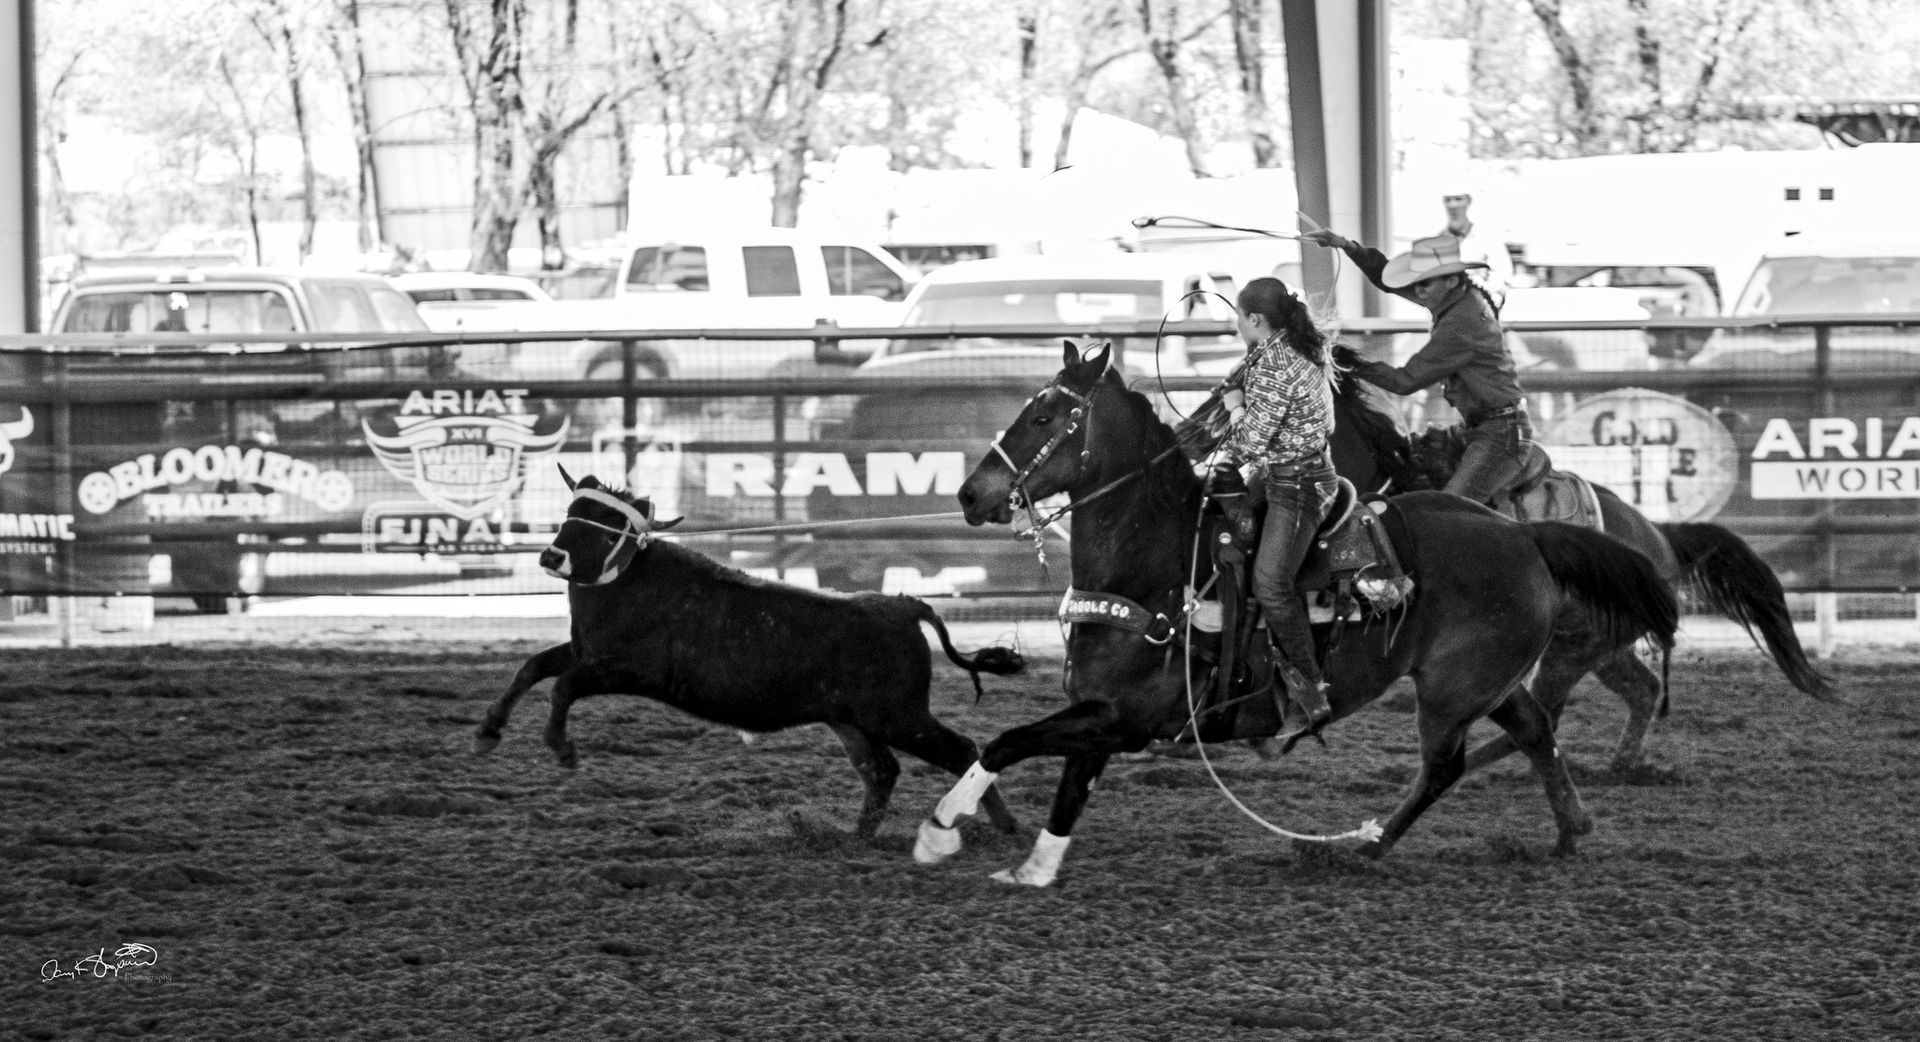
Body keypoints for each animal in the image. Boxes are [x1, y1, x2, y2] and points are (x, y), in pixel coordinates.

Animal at [472, 468, 1026, 841]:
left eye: (610, 525)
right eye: (572, 514)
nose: (552, 555)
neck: (628, 582)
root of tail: (904, 604)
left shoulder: (626, 670)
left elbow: (563, 685)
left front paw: (561, 748)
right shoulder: (583, 651)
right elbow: (533, 668)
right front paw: (488, 732)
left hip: (900, 716)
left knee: (962, 750)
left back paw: (1005, 825)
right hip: (853, 720)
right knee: (881, 770)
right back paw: (857, 836)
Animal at [911, 341, 1679, 886]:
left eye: (1045, 415)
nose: (972, 495)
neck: (1157, 563)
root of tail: (1524, 534)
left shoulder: (1122, 719)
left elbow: (1006, 742)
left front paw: (940, 826)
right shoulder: (1100, 712)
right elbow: (1067, 786)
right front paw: (1035, 868)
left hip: (1453, 689)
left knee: (1446, 765)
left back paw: (1363, 847)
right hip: (1486, 681)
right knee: (1536, 729)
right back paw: (1570, 830)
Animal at [1326, 346, 1838, 773]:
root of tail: (1658, 537)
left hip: (1572, 650)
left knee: (1547, 715)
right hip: (1601, 647)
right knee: (1643, 689)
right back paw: (1621, 767)